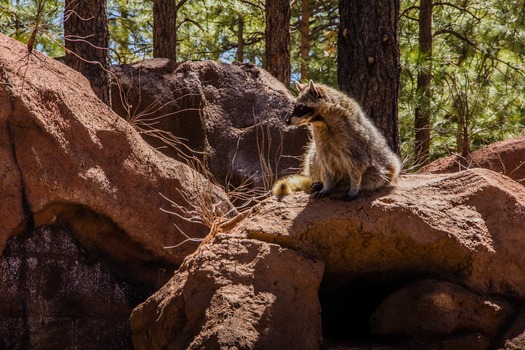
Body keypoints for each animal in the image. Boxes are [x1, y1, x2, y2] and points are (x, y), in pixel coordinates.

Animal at [272, 79, 400, 200]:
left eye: (302, 107)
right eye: (296, 106)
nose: (287, 121)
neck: (321, 120)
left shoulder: (349, 134)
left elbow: (358, 161)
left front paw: (354, 187)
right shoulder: (319, 135)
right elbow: (323, 161)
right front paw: (326, 185)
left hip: (383, 169)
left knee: (375, 177)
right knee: (313, 156)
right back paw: (321, 182)